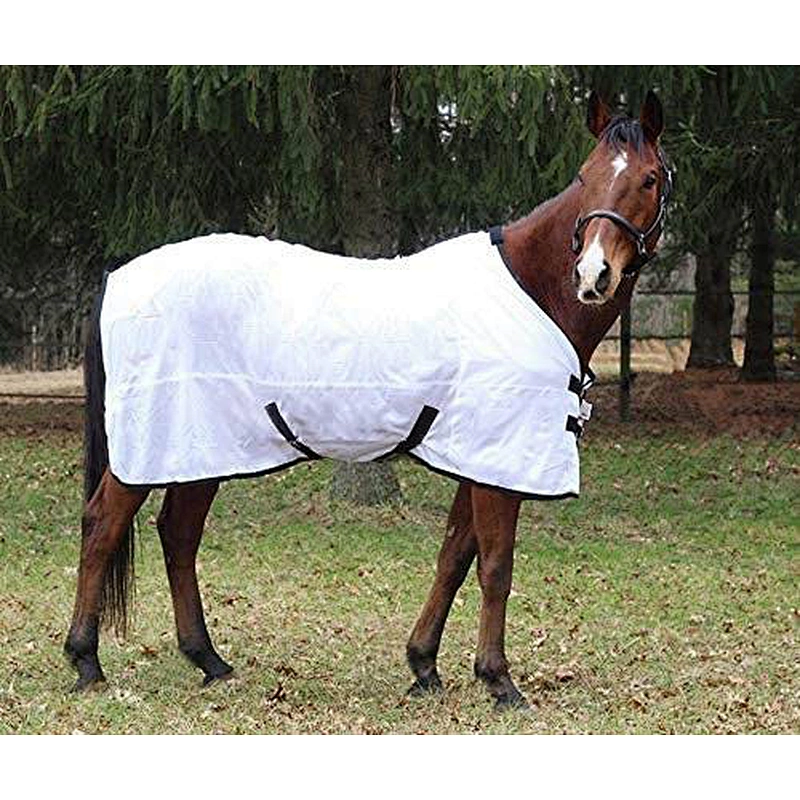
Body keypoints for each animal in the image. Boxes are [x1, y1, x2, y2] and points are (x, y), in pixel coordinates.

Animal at [65, 90, 671, 710]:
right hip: (153, 446)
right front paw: (499, 680)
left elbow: (455, 555)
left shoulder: (477, 456)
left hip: (201, 447)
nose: (593, 274)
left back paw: (208, 660)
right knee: (103, 524)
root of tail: (117, 278)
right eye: (584, 176)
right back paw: (87, 661)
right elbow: (496, 566)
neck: (532, 288)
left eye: (648, 179)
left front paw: (424, 666)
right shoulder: (499, 459)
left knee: (179, 534)